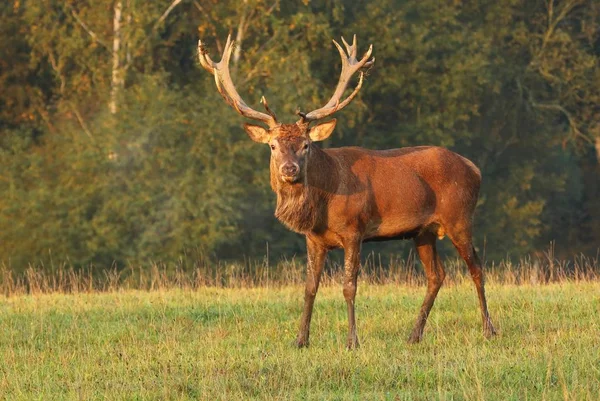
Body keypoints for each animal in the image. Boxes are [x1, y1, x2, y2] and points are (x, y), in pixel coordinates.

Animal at [198, 33, 496, 346]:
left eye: (306, 145)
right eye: (272, 146)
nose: (289, 170)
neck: (323, 204)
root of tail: (474, 168)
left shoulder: (355, 230)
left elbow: (349, 285)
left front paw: (353, 340)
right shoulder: (313, 238)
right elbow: (310, 287)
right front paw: (301, 339)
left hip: (459, 217)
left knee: (477, 268)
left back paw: (488, 329)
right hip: (423, 231)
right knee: (437, 275)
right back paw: (414, 335)